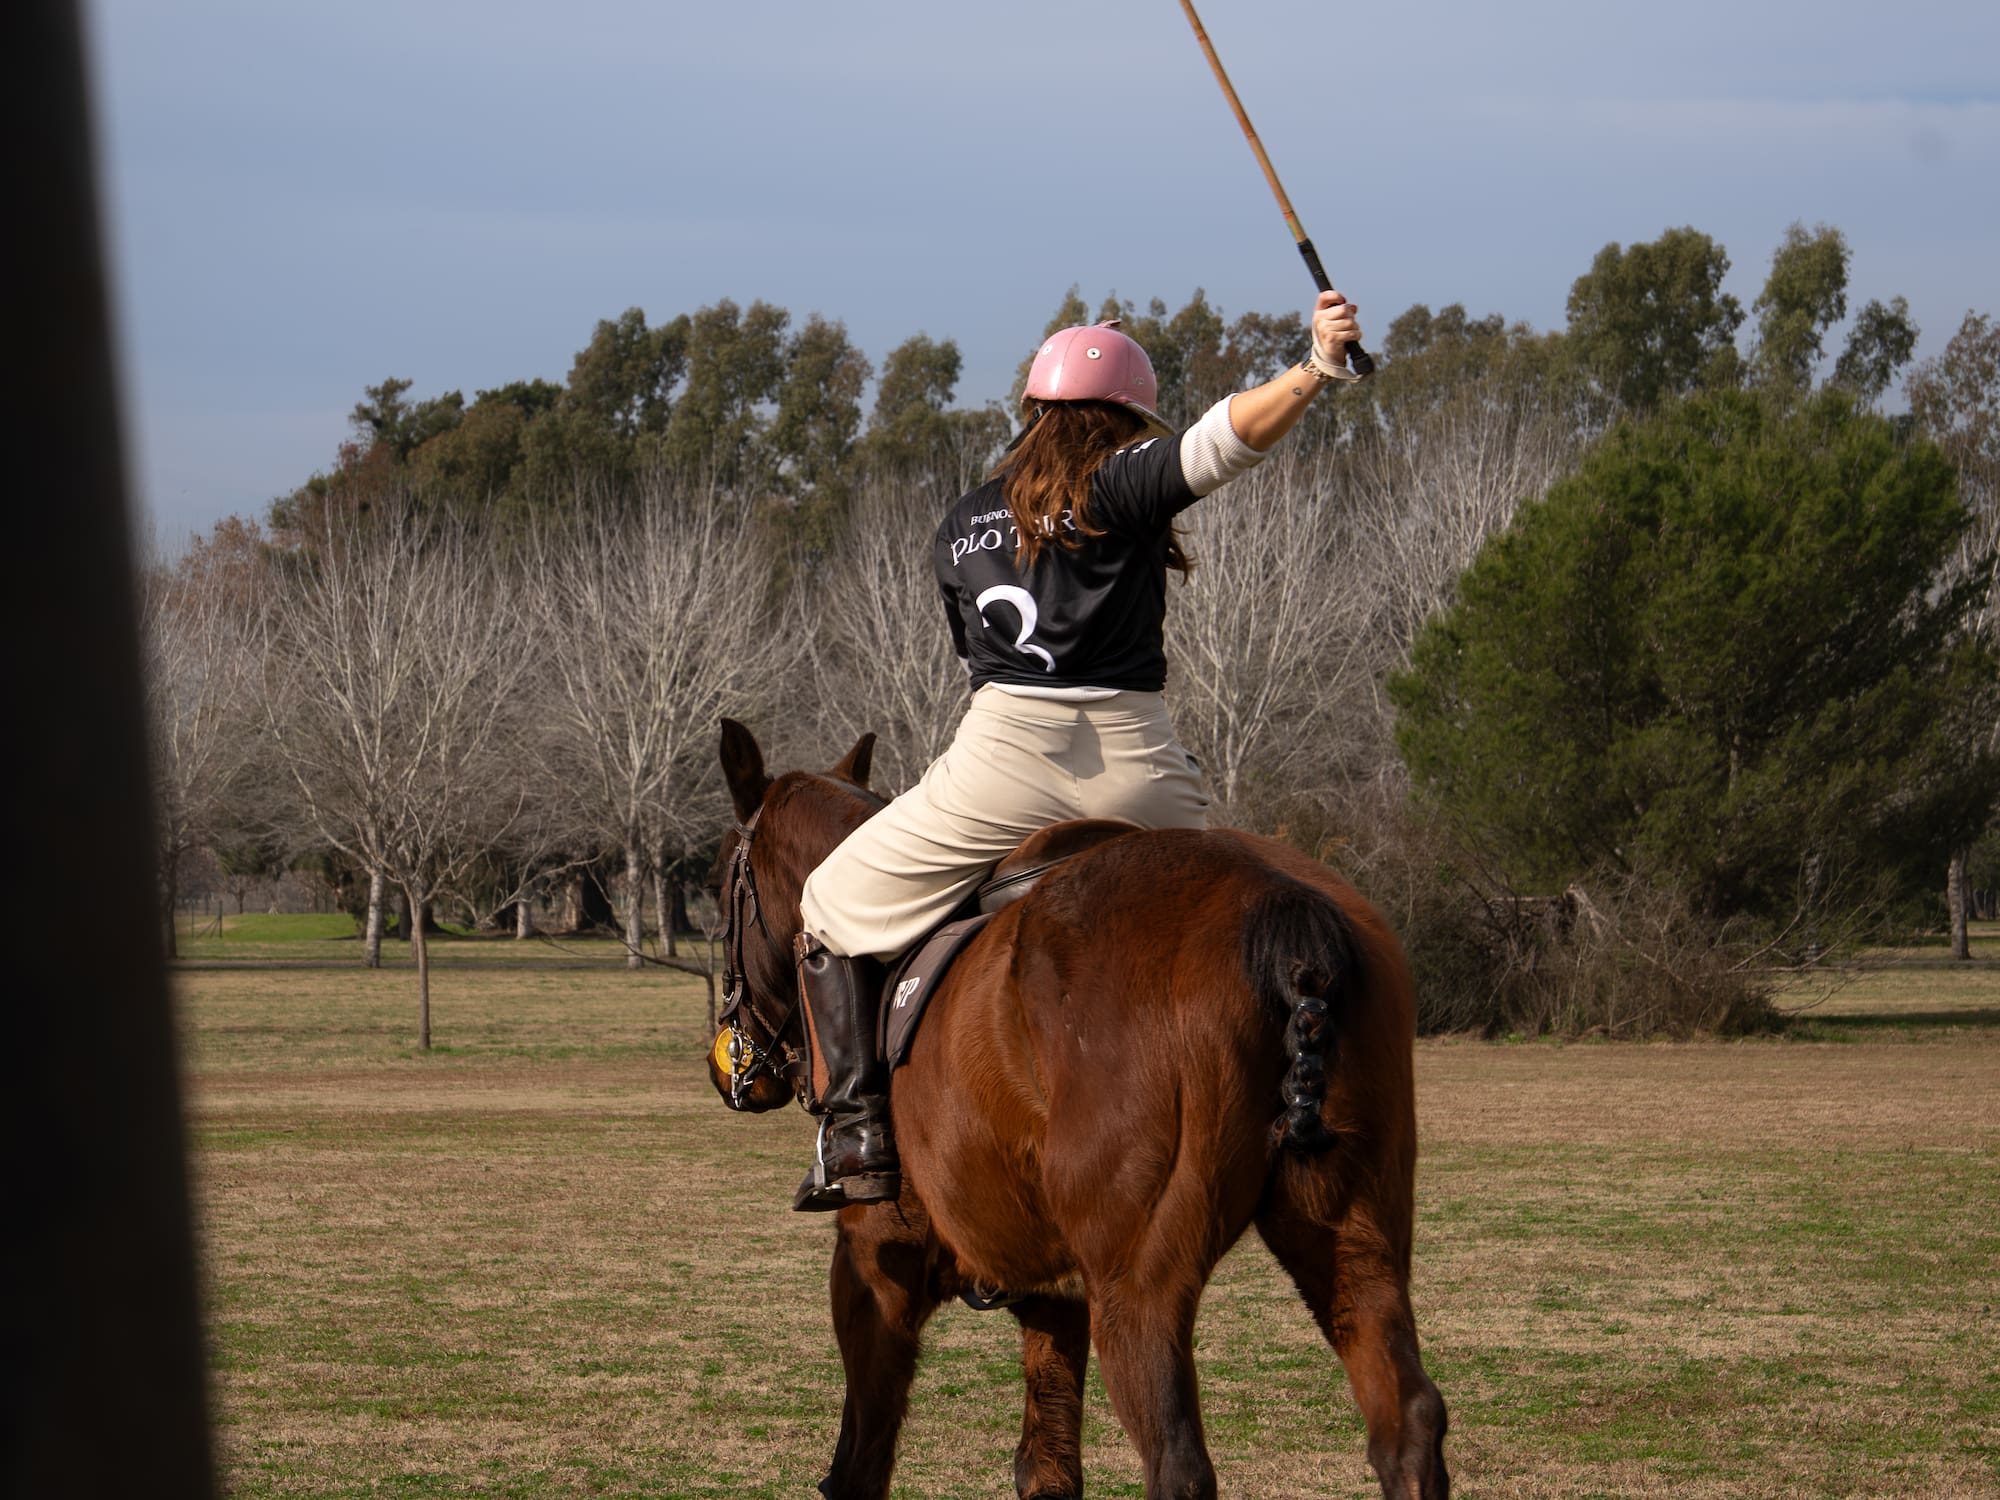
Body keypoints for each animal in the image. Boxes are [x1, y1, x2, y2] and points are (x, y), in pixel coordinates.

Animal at [706, 718, 1448, 1500]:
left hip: (1137, 1282)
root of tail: (1281, 908)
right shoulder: (1052, 1298)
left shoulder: (875, 1262)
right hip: (1352, 1236)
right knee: (1407, 1418)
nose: (733, 1068)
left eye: (716, 884)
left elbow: (858, 1465)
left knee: (1178, 1462)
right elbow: (1048, 1467)